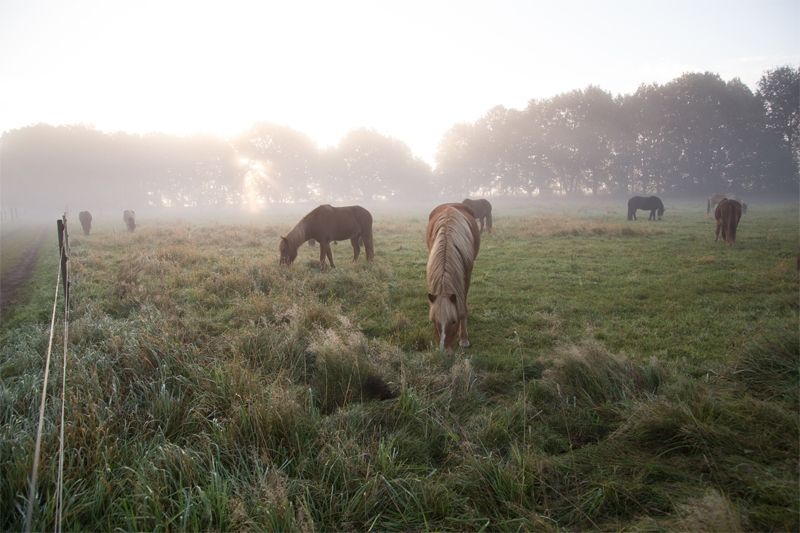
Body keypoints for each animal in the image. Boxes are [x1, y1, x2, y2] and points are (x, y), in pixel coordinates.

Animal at [426, 203, 480, 352]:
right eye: (434, 321)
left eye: (453, 321)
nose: (444, 351)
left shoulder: (466, 275)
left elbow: (462, 307)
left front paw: (464, 339)